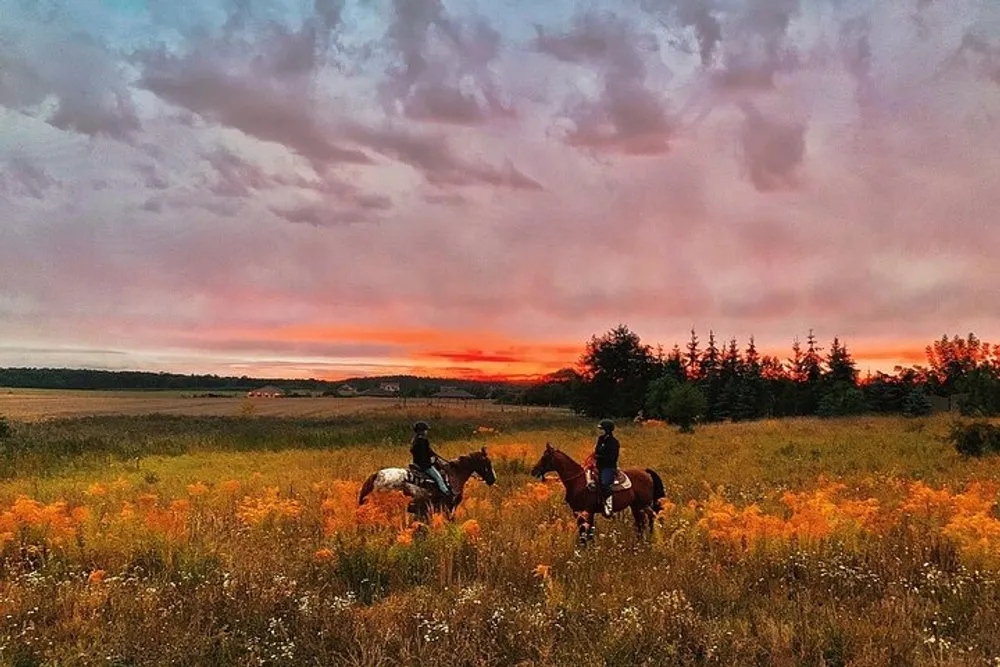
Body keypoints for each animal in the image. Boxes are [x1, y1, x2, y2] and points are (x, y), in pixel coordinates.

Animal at [528, 444, 668, 544]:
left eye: (545, 457)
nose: (533, 470)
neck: (578, 481)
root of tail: (646, 472)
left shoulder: (587, 512)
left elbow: (587, 533)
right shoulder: (578, 513)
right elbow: (585, 533)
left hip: (642, 506)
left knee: (649, 520)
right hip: (636, 507)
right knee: (641, 524)